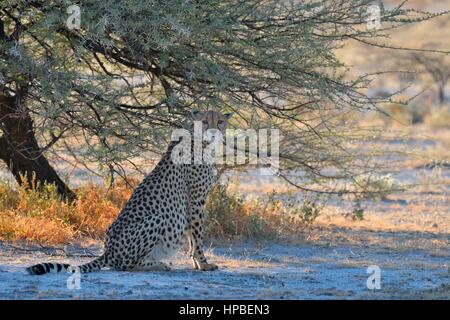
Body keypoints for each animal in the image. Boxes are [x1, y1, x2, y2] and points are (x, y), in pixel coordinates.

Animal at [27, 110, 232, 276]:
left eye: (220, 121)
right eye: (205, 121)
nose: (214, 132)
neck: (199, 141)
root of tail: (108, 251)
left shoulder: (192, 203)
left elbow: (191, 236)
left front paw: (197, 264)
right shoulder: (196, 200)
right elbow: (197, 236)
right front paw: (204, 264)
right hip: (156, 218)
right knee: (127, 265)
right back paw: (159, 264)